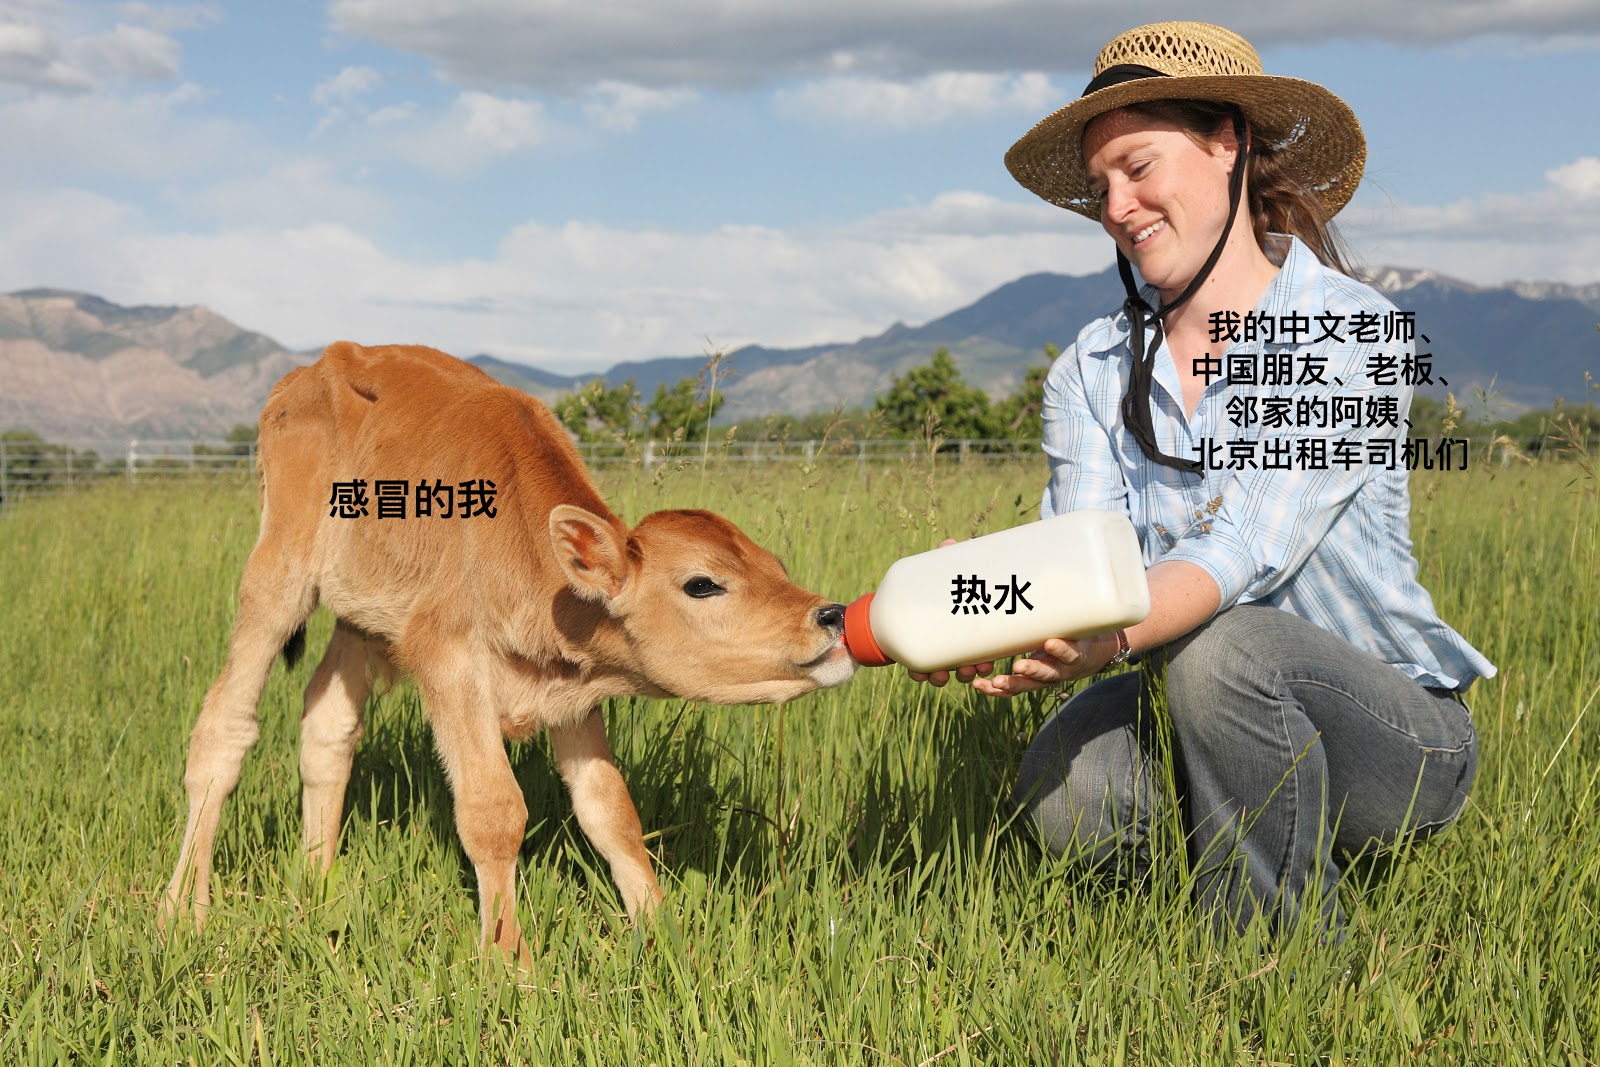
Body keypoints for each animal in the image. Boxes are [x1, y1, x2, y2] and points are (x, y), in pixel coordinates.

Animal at [159, 340, 864, 959]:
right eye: (702, 583)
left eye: (775, 565)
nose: (831, 615)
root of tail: (314, 368)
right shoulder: (447, 659)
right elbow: (493, 811)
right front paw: (508, 963)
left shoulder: (574, 689)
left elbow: (611, 811)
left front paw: (664, 937)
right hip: (278, 572)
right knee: (224, 725)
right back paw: (182, 910)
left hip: (364, 615)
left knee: (328, 720)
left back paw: (319, 886)